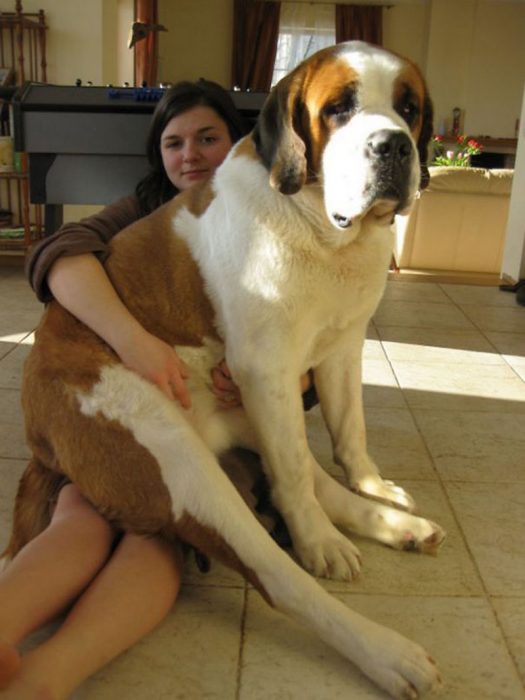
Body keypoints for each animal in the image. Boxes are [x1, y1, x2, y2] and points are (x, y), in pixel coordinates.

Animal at [7, 42, 442, 700]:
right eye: (338, 109)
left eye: (409, 109)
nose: (393, 145)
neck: (319, 227)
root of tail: (36, 437)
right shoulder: (267, 367)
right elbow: (297, 479)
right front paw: (318, 543)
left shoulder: (341, 349)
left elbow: (349, 433)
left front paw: (370, 486)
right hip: (175, 457)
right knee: (277, 565)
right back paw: (384, 644)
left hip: (243, 415)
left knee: (303, 474)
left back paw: (392, 524)